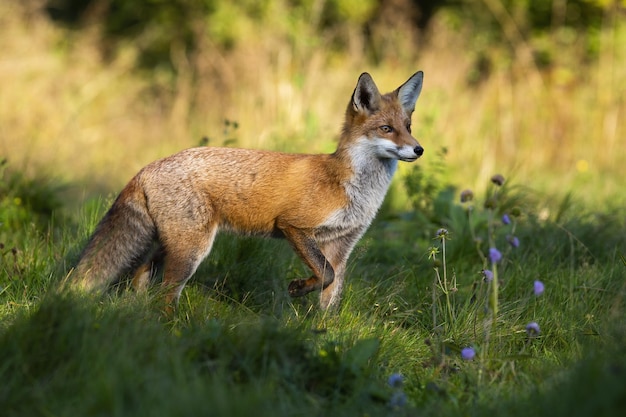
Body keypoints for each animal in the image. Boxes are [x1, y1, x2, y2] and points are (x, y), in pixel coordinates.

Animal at [69, 71, 424, 310]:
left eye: (408, 128)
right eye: (386, 129)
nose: (419, 149)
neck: (352, 188)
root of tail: (148, 166)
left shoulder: (341, 246)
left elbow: (330, 296)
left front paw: (321, 339)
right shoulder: (294, 226)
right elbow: (324, 276)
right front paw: (297, 289)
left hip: (164, 245)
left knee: (141, 280)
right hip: (191, 251)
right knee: (166, 294)